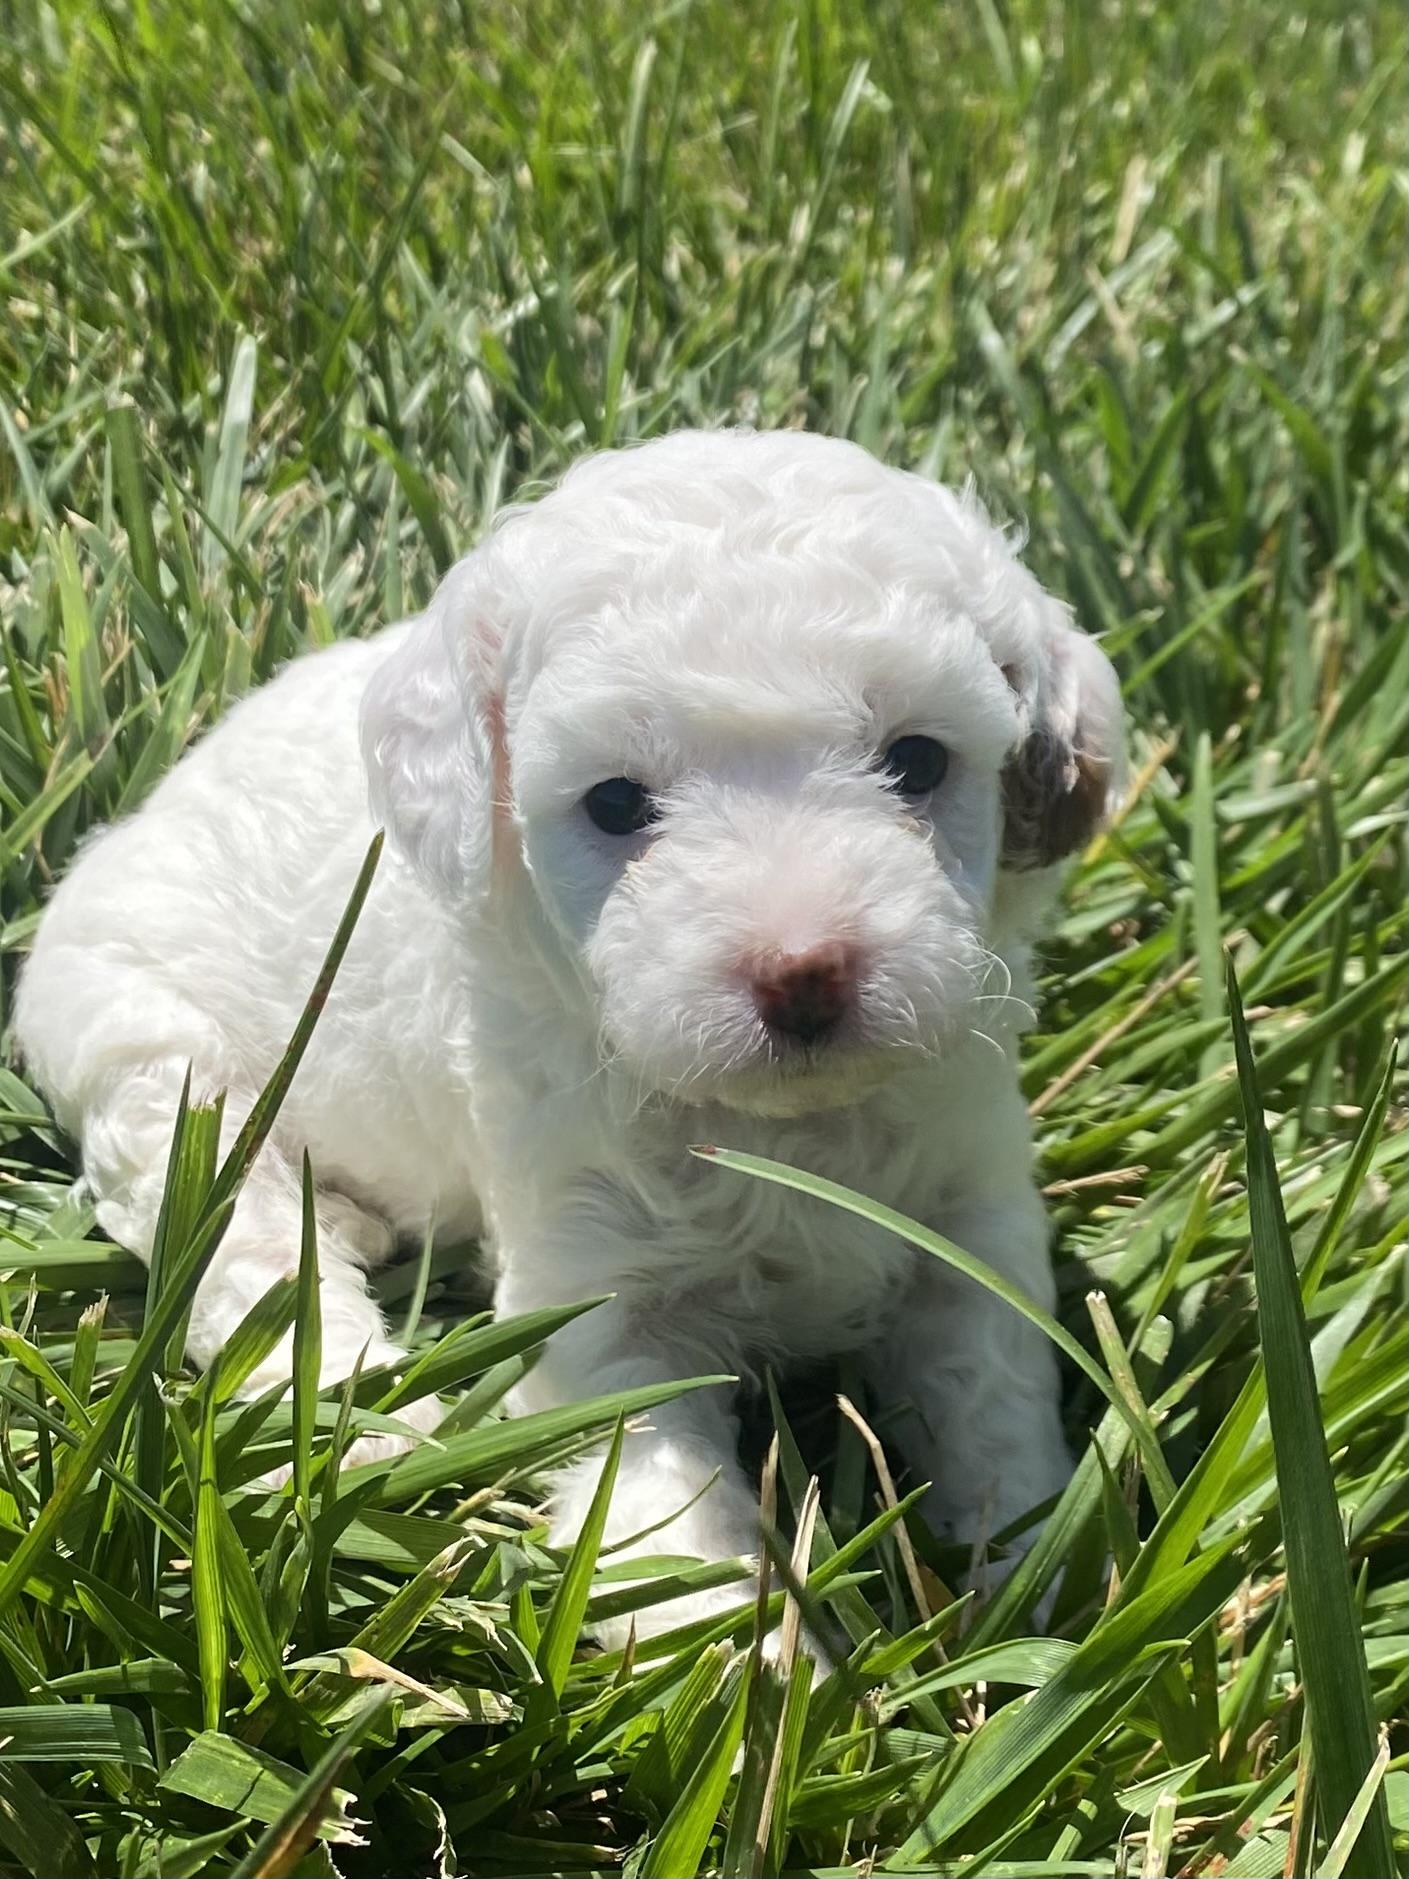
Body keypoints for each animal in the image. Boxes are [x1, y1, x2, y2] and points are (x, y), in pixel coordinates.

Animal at [16, 429, 1123, 1641]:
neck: (776, 1130)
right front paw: (732, 1664)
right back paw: (362, 1422)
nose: (802, 971)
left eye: (918, 762)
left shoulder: (968, 1219)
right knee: (238, 1247)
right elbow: (664, 1515)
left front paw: (1027, 1601)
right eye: (615, 804)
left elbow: (994, 1405)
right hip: (156, 1061)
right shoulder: (596, 1293)